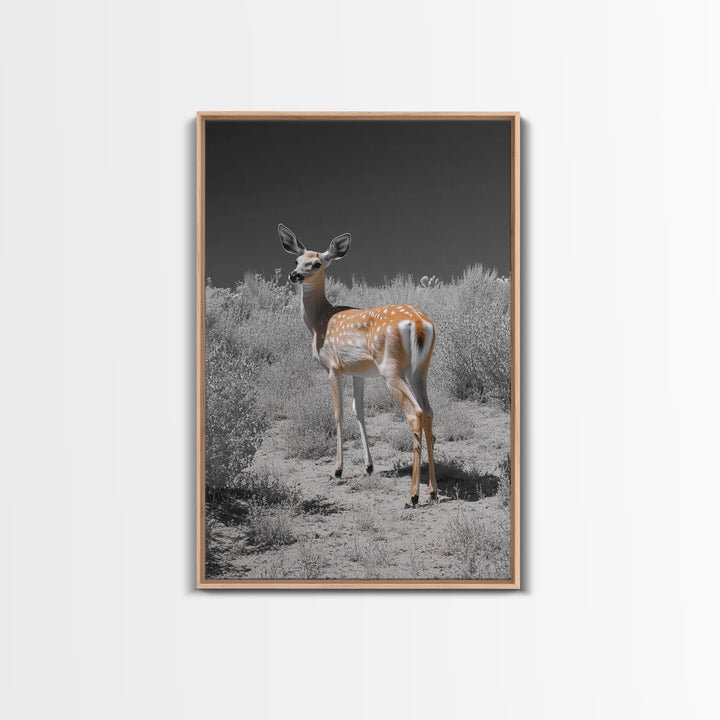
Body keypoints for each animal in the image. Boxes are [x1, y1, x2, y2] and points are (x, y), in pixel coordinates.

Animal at [279, 223, 437, 508]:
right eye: (296, 260)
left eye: (317, 263)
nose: (294, 275)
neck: (319, 320)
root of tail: (419, 324)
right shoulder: (358, 372)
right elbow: (359, 411)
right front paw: (368, 466)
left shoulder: (333, 368)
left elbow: (338, 412)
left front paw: (337, 470)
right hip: (420, 369)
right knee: (429, 411)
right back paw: (432, 491)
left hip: (391, 369)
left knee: (415, 413)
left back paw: (412, 496)